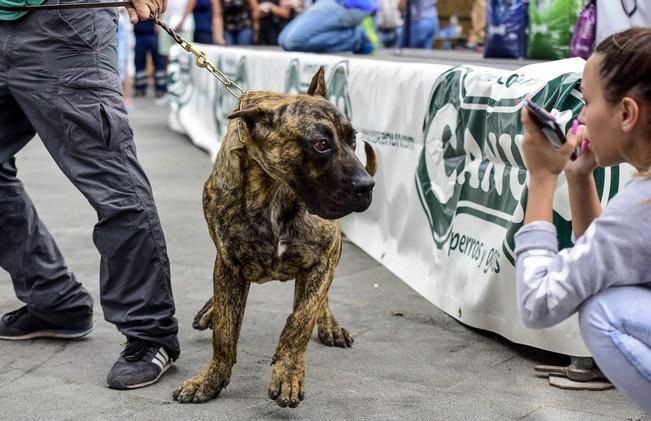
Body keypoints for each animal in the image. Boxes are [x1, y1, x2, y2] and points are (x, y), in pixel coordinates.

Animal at [173, 67, 376, 406]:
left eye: (353, 139)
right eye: (321, 144)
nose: (366, 186)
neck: (273, 189)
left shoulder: (323, 257)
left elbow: (300, 318)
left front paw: (288, 371)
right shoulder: (227, 263)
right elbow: (224, 333)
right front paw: (210, 379)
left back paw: (328, 323)